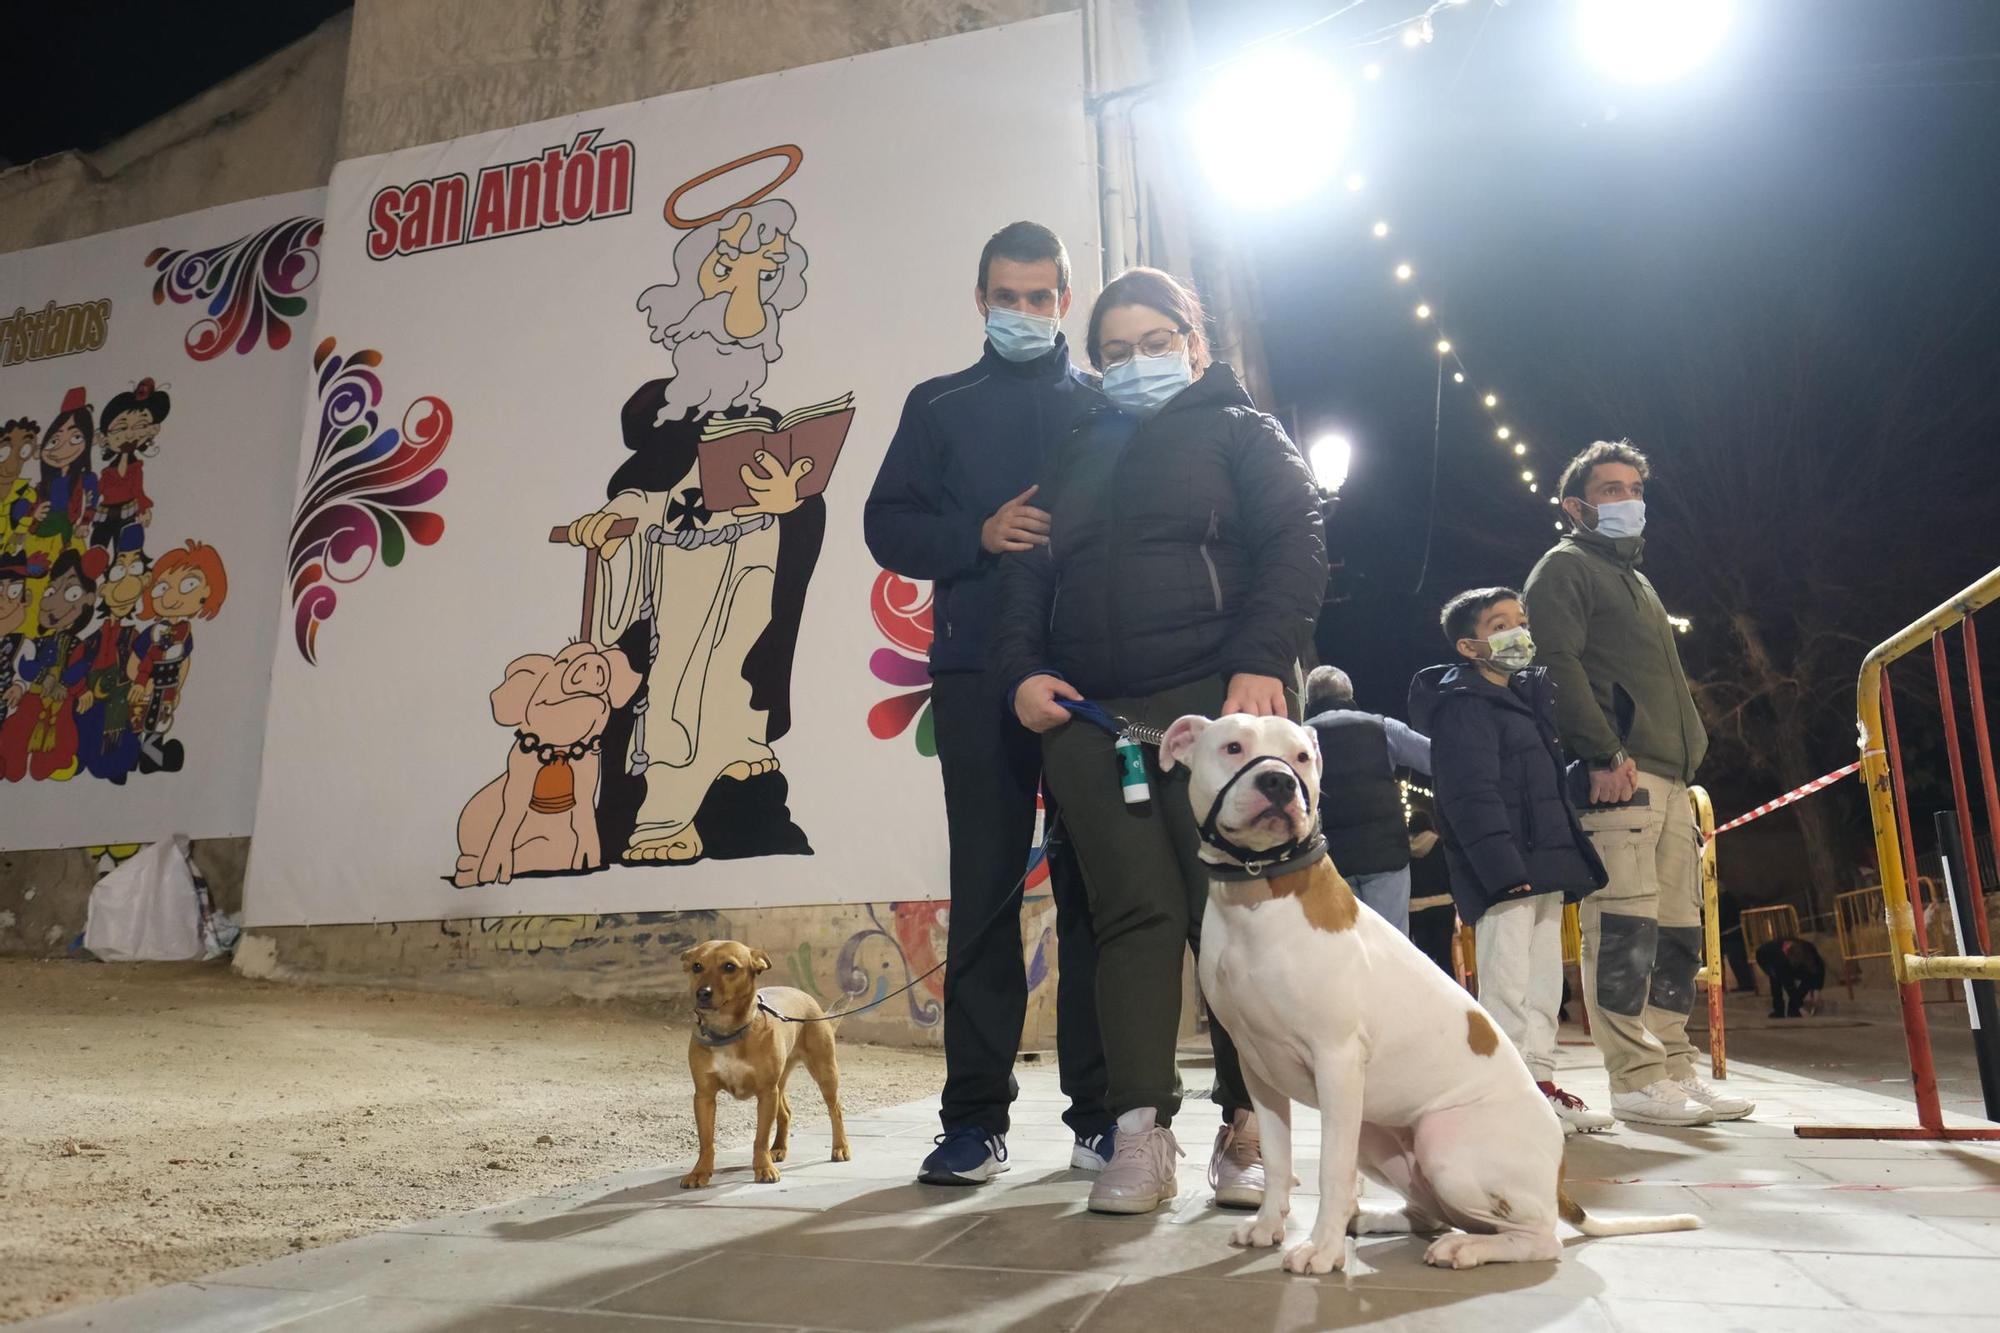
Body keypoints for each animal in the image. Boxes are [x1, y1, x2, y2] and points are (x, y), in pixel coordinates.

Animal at [684, 932, 848, 1184]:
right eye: (697, 966)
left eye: (729, 967)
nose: (702, 993)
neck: (729, 1033)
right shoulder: (704, 1096)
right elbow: (706, 1141)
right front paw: (700, 1171)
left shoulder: (765, 1093)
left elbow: (760, 1138)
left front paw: (763, 1168)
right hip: (779, 1085)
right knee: (786, 1113)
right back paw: (779, 1148)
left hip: (824, 1073)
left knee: (836, 1110)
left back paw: (840, 1148)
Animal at [1160, 712, 1704, 1272]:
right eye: (1233, 747)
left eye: (1301, 757)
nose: (1278, 782)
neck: (1259, 896)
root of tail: (1558, 1177)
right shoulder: (1259, 1072)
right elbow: (1275, 1157)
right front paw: (1270, 1225)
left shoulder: (1337, 1063)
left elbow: (1331, 1170)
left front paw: (1323, 1250)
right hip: (1378, 1133)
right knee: (1431, 1213)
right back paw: (1374, 1219)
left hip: (1442, 1143)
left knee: (1536, 1237)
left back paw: (1465, 1247)